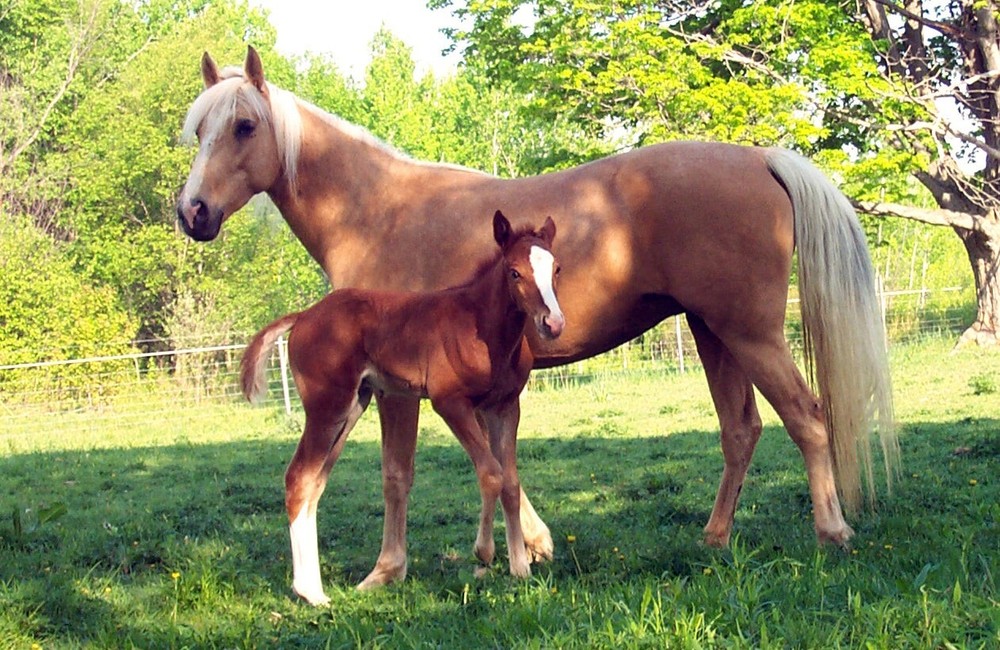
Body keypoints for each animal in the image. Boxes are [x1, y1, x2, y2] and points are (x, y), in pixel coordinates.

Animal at [240, 211, 564, 605]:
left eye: (557, 269)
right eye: (515, 272)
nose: (553, 323)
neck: (481, 326)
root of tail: (303, 316)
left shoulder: (504, 406)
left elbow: (511, 481)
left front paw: (520, 567)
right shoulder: (450, 402)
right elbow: (491, 473)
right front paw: (484, 554)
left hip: (352, 406)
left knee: (315, 482)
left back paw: (312, 586)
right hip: (326, 406)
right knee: (298, 477)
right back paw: (312, 593)